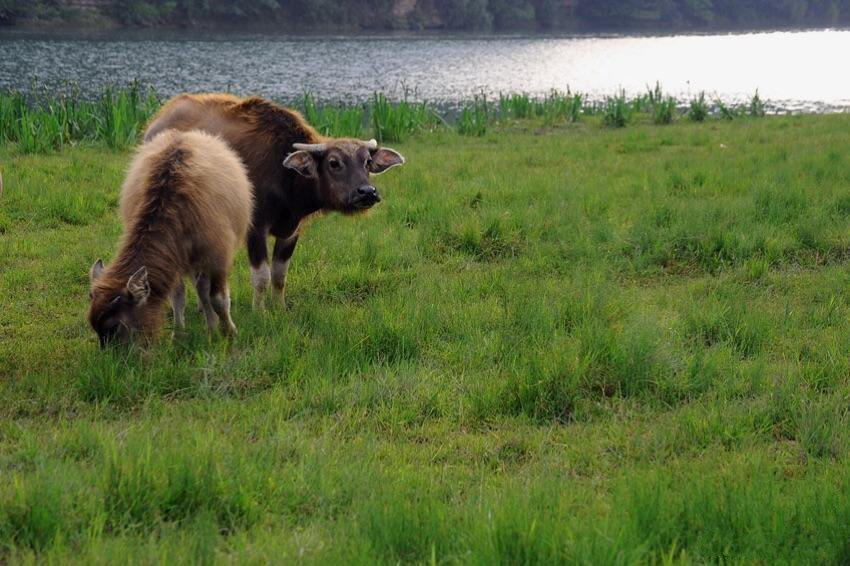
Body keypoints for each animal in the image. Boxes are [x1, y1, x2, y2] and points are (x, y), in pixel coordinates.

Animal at [88, 131, 252, 348]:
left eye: (115, 327)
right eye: (94, 326)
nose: (113, 356)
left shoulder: (218, 256)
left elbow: (218, 298)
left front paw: (229, 333)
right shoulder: (174, 259)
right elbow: (177, 296)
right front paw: (179, 334)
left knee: (204, 288)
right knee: (200, 287)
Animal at [144, 96, 406, 312]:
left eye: (367, 161)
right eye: (334, 162)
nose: (367, 192)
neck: (285, 176)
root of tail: (156, 123)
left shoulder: (291, 231)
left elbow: (280, 275)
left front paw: (278, 308)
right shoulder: (255, 229)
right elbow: (262, 277)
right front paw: (259, 312)